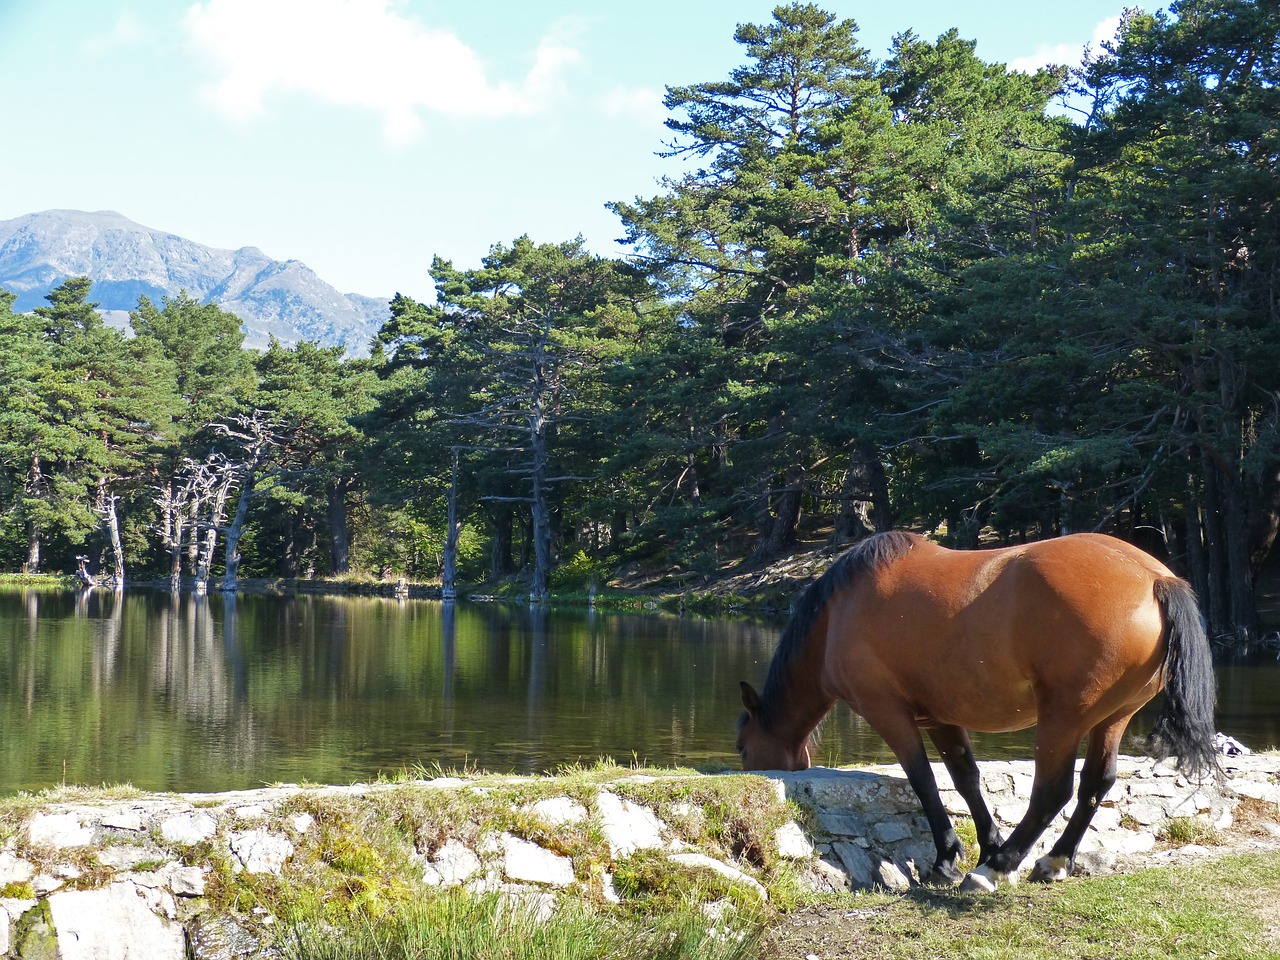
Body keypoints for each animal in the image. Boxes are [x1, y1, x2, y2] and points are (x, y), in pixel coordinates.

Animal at [737, 529, 1213, 890]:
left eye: (742, 747)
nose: (745, 764)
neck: (840, 611)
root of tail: (1154, 579)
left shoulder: (887, 711)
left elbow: (923, 780)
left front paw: (951, 860)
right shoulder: (941, 717)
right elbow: (965, 779)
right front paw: (985, 844)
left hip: (1063, 718)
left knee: (1052, 791)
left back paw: (995, 870)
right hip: (1112, 719)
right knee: (1096, 784)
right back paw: (1052, 861)